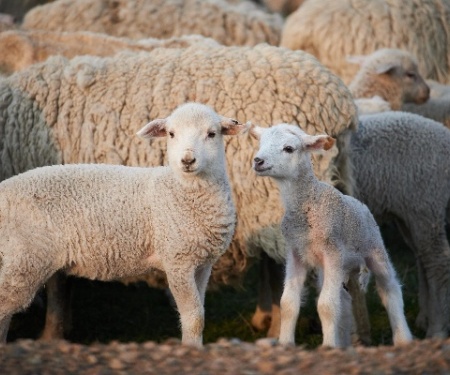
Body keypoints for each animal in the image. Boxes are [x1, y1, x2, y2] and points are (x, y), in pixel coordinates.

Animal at [0, 102, 246, 346]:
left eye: (211, 134)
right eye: (171, 134)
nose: (187, 160)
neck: (180, 190)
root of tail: (4, 190)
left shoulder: (202, 264)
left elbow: (200, 312)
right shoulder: (177, 260)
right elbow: (194, 318)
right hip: (25, 259)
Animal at [250, 124, 412, 350]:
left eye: (289, 148)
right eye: (261, 143)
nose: (258, 161)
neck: (308, 203)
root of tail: (359, 203)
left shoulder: (332, 252)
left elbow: (326, 305)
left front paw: (328, 346)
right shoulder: (296, 253)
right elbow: (288, 303)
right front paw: (286, 344)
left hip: (374, 249)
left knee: (390, 289)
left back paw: (403, 339)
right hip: (330, 267)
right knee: (343, 300)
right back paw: (344, 343)